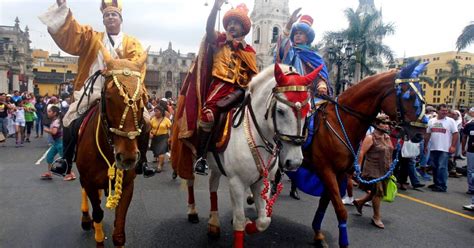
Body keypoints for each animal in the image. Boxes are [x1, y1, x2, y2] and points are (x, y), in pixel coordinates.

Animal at [75, 46, 148, 246]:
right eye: (108, 96)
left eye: (142, 97)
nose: (128, 157)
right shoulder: (89, 182)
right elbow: (98, 214)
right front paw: (98, 236)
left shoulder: (128, 185)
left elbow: (119, 231)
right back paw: (86, 219)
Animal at [185, 63, 322, 247]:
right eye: (280, 111)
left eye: (308, 111)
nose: (294, 162)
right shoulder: (236, 183)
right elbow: (239, 221)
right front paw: (244, 223)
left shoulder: (261, 181)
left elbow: (264, 221)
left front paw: (250, 224)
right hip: (191, 152)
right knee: (190, 180)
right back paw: (192, 212)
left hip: (217, 167)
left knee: (213, 186)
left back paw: (213, 224)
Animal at [300, 61, 430, 247]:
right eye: (409, 96)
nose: (420, 134)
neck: (341, 122)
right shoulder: (325, 170)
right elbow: (341, 210)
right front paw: (343, 242)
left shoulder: (339, 173)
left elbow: (324, 203)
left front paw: (318, 234)